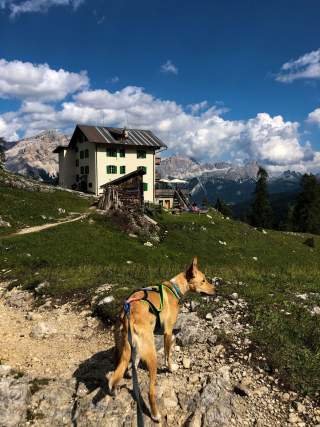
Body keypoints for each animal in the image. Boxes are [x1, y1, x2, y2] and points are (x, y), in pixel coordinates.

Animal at [107, 258, 215, 422]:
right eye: (203, 280)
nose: (215, 290)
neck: (174, 288)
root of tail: (127, 317)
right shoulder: (168, 332)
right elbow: (167, 354)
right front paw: (171, 368)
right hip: (151, 355)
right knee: (150, 391)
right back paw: (155, 414)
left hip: (125, 348)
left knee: (119, 372)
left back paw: (119, 385)